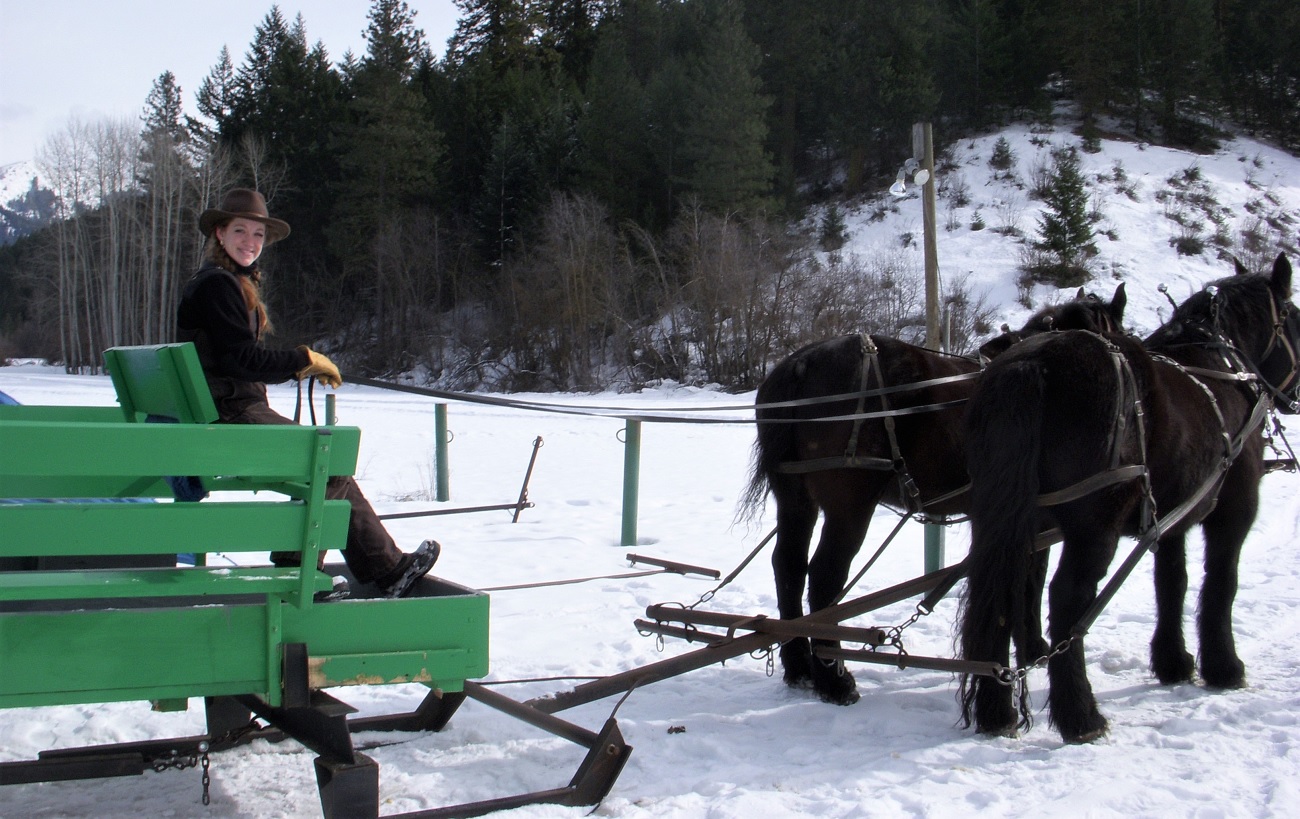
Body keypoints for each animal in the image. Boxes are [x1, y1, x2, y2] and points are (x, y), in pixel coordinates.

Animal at [740, 285, 1127, 705]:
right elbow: (1031, 583)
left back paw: (798, 665)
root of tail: (801, 364)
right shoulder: (1038, 521)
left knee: (788, 566)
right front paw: (1034, 649)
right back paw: (835, 678)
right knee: (825, 575)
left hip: (796, 500)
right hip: (849, 507)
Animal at [959, 254, 1300, 743]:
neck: (1220, 368)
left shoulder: (1170, 520)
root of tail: (1031, 364)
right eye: (1294, 317)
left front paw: (1173, 660)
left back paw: (995, 707)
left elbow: (1172, 582)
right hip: (1092, 523)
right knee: (1067, 599)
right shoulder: (1233, 513)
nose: (1293, 395)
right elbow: (1221, 583)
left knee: (1001, 591)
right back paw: (1080, 715)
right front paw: (1224, 666)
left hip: (1003, 517)